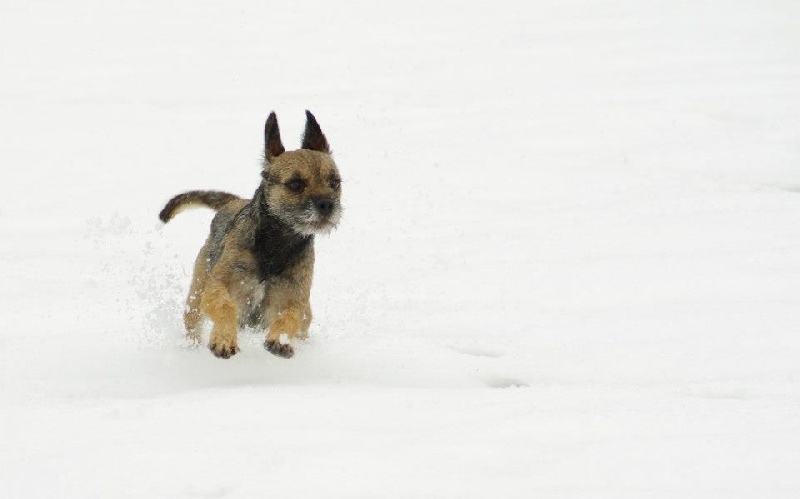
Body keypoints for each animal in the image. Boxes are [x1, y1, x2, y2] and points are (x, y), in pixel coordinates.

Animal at [159, 111, 342, 359]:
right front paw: (224, 339)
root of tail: (234, 202)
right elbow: (225, 305)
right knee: (193, 323)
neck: (276, 245)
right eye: (295, 184)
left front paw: (280, 339)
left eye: (335, 182)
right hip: (196, 296)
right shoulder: (217, 287)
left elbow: (290, 315)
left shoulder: (295, 298)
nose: (327, 205)